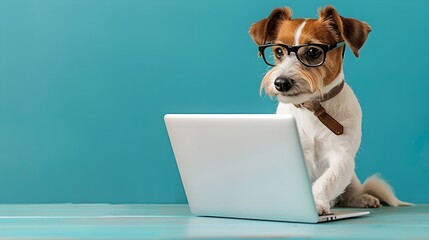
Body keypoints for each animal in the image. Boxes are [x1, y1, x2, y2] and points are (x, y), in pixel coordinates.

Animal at [249, 5, 410, 215]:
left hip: (352, 177)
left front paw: (316, 202)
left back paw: (363, 199)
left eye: (312, 51)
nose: (281, 83)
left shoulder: (342, 155)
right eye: (278, 51)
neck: (313, 109)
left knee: (348, 194)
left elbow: (327, 180)